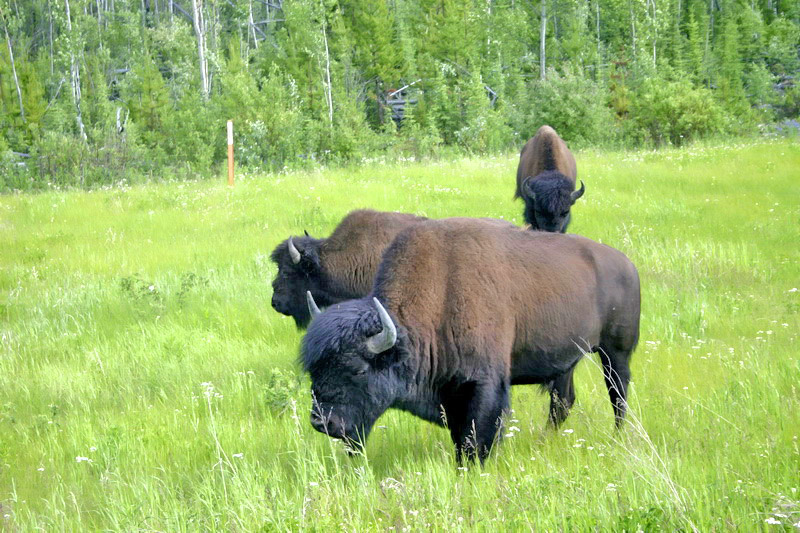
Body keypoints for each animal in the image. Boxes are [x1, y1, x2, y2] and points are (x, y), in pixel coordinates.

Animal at [302, 217, 640, 463]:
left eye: (358, 370)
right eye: (314, 370)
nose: (322, 423)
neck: (440, 293)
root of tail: (626, 264)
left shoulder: (484, 385)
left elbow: (475, 438)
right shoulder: (451, 392)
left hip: (615, 352)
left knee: (617, 394)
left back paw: (617, 438)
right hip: (569, 359)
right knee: (563, 402)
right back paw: (545, 441)